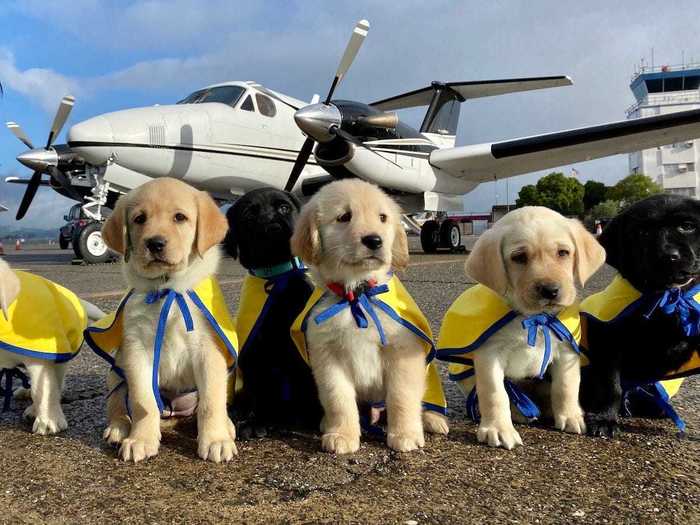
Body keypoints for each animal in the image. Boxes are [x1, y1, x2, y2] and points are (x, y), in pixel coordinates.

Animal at [84, 177, 238, 462]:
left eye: (180, 217)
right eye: (139, 219)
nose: (155, 243)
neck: (168, 288)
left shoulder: (208, 351)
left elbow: (211, 402)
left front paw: (216, 440)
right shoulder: (137, 350)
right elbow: (143, 401)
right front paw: (141, 439)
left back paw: (227, 426)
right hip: (115, 371)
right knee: (117, 404)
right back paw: (119, 428)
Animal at [224, 186, 322, 436]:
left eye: (284, 207)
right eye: (249, 214)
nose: (273, 224)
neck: (276, 277)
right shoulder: (255, 350)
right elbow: (261, 390)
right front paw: (257, 421)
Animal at [290, 179, 448, 454]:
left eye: (382, 217)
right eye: (344, 217)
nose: (374, 240)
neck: (357, 292)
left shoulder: (403, 352)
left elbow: (402, 396)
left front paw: (405, 434)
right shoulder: (327, 356)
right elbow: (338, 398)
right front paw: (342, 434)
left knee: (425, 400)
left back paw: (432, 419)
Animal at [438, 207, 608, 448]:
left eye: (563, 253)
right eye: (519, 257)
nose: (550, 290)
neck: (532, 317)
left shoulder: (567, 350)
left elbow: (566, 386)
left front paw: (571, 416)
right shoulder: (489, 355)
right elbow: (495, 393)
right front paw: (499, 429)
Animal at [580, 194, 700, 436]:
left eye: (687, 226)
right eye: (641, 232)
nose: (668, 256)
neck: (665, 297)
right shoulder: (607, 338)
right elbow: (612, 385)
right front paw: (605, 419)